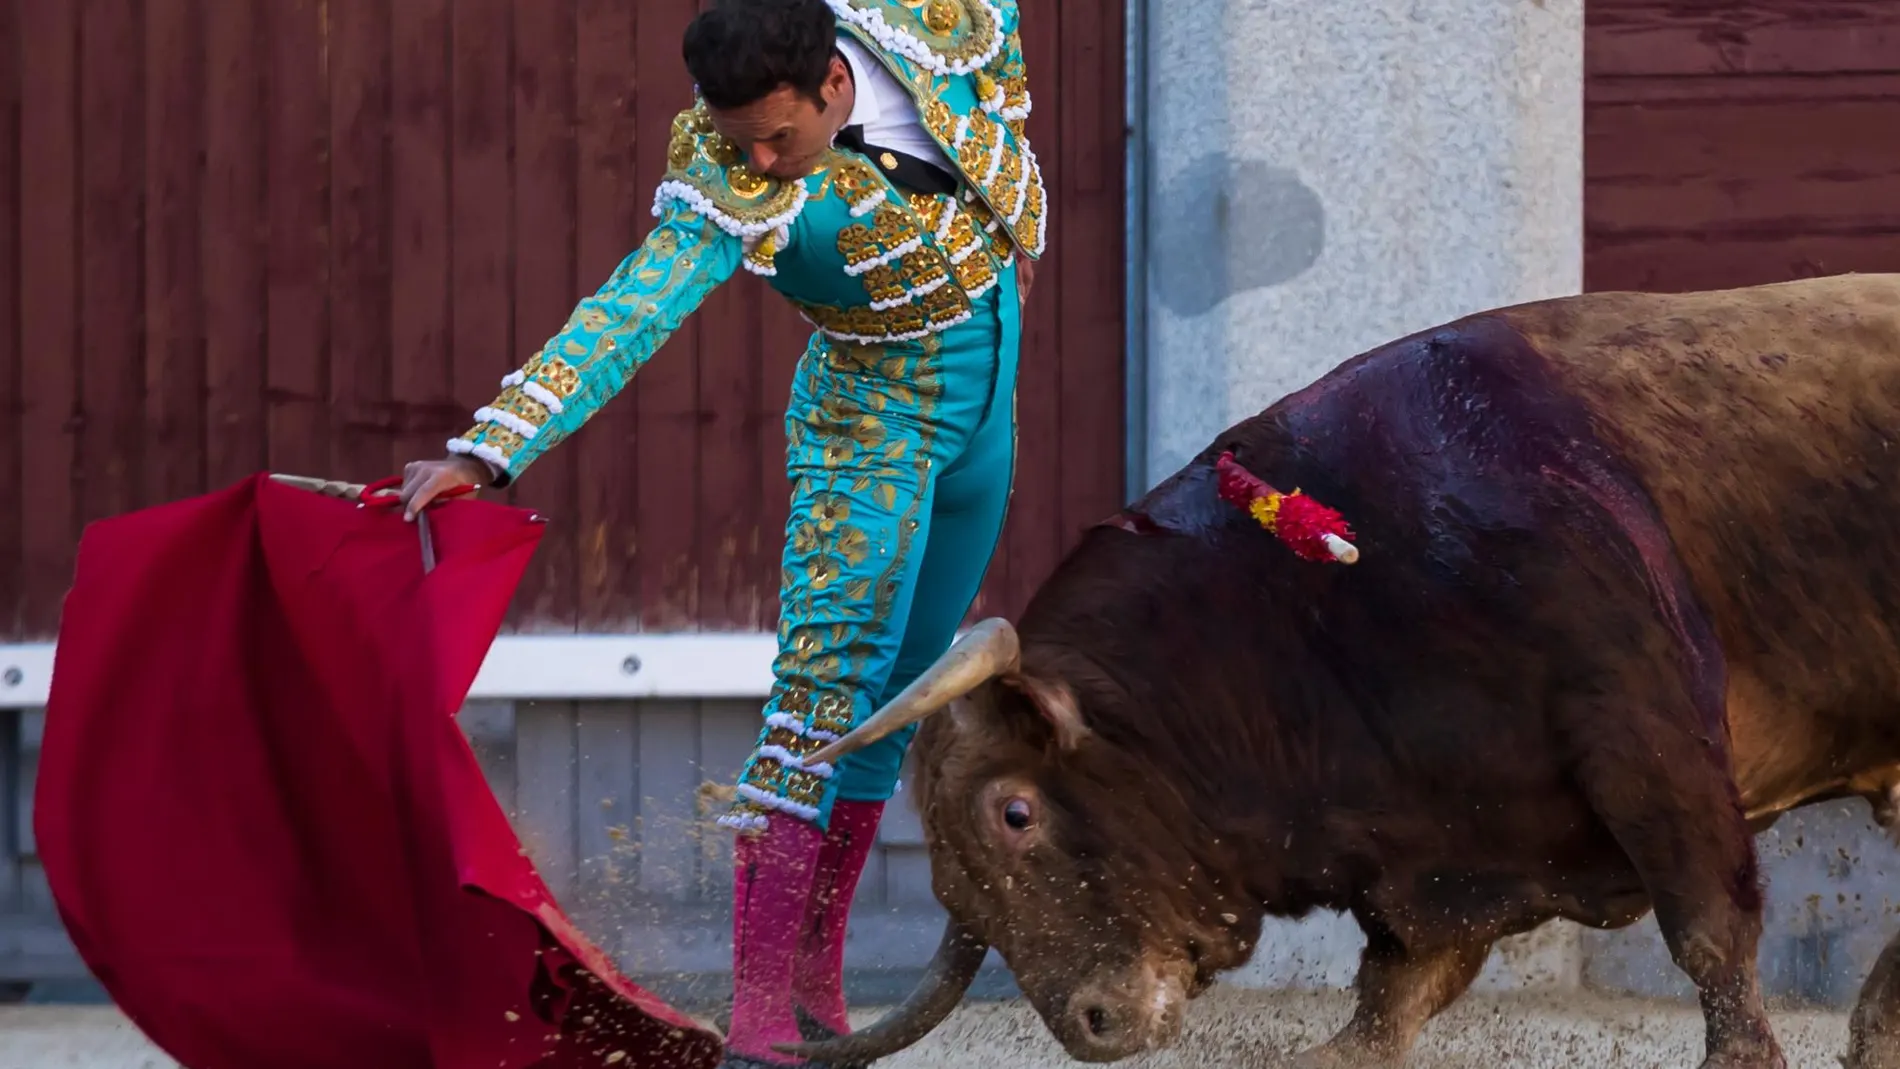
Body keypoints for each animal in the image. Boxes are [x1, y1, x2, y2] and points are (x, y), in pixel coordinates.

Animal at [779, 275, 1900, 1069]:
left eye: (1015, 811)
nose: (1092, 1022)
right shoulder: (1446, 853)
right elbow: (1388, 998)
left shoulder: (1649, 738)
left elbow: (1710, 930)